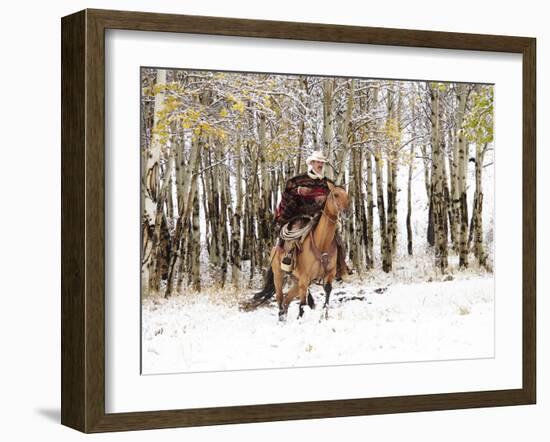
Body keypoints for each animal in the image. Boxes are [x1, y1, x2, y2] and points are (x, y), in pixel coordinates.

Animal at [254, 182, 350, 322]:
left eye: (347, 196)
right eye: (335, 194)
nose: (347, 213)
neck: (322, 243)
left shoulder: (329, 275)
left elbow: (326, 297)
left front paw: (324, 318)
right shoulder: (305, 279)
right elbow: (302, 305)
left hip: (296, 279)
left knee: (287, 300)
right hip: (279, 274)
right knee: (280, 298)